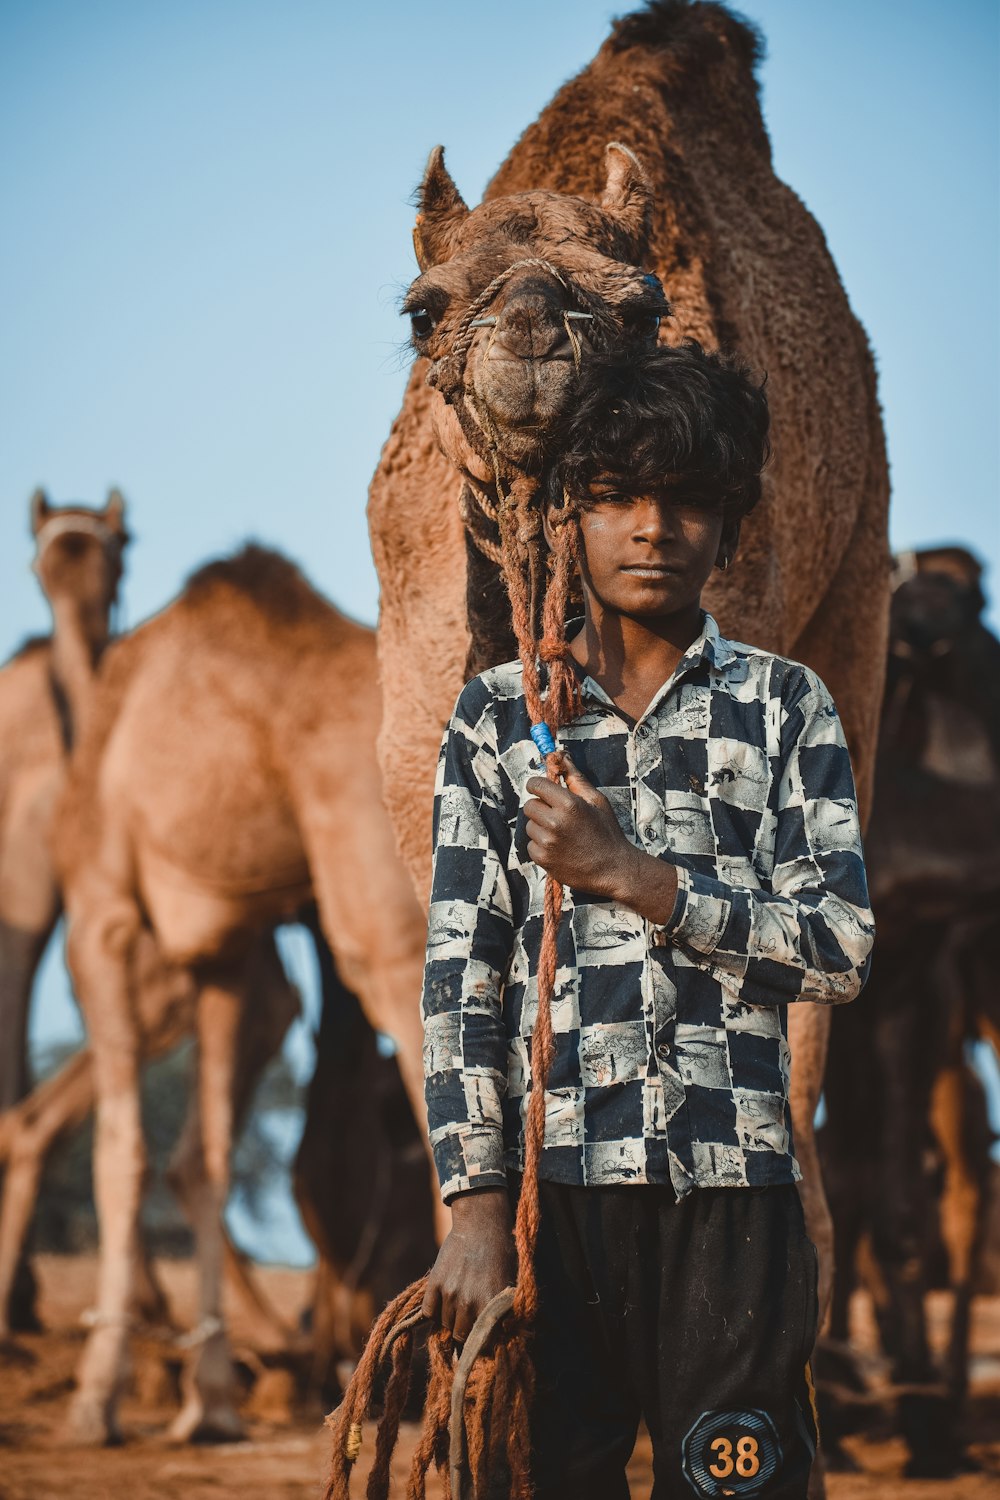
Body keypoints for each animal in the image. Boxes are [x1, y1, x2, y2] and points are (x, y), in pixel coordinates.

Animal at [52, 549, 431, 1440]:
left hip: (381, 910)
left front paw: (94, 1400)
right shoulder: (224, 951)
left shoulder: (101, 915)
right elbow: (206, 1158)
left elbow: (122, 1153)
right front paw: (212, 1402)